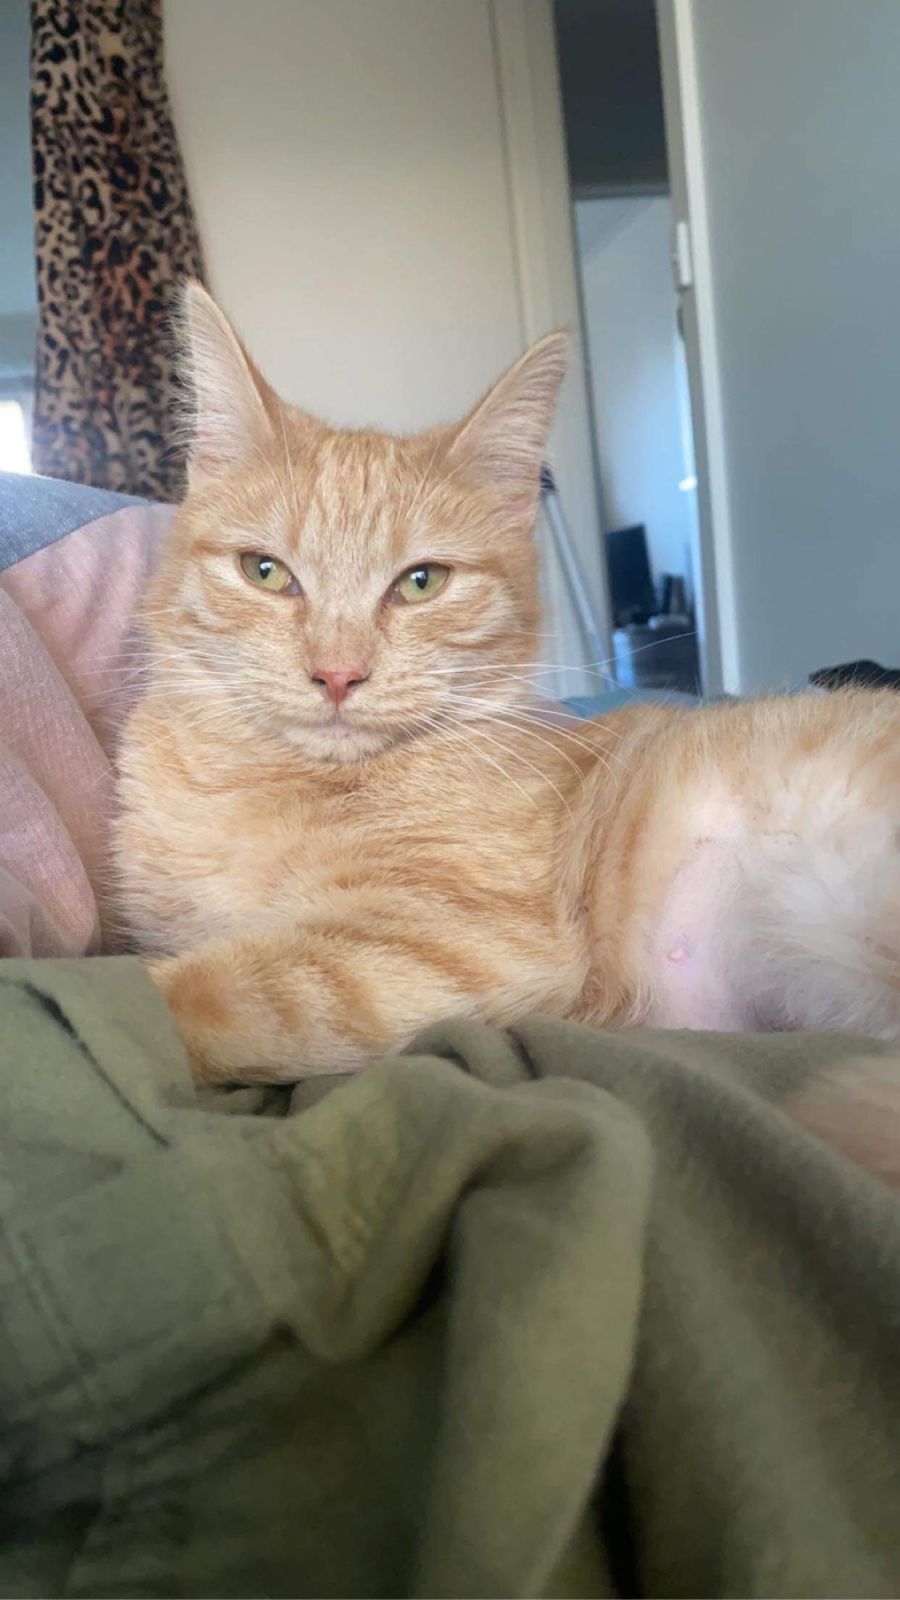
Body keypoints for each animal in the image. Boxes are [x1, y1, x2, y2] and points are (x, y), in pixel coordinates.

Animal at [115, 282, 900, 1085]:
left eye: (422, 582)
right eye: (265, 572)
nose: (336, 674)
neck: (264, 779)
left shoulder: (448, 942)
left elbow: (195, 991)